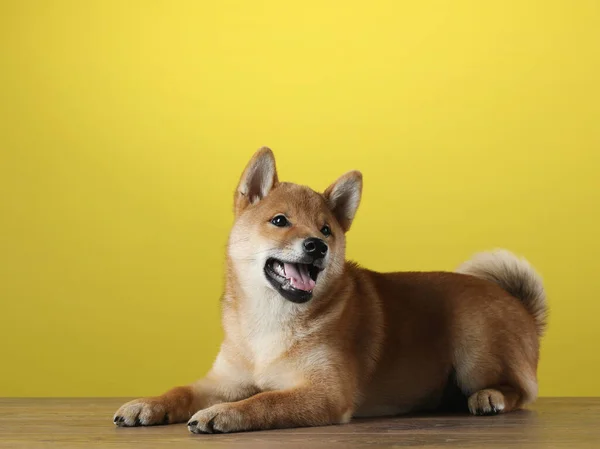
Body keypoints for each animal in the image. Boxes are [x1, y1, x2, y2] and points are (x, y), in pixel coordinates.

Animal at [113, 149, 548, 432]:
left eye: (325, 229)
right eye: (280, 220)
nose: (317, 246)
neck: (269, 321)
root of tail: (519, 305)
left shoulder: (324, 391)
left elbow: (265, 400)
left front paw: (224, 413)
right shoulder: (223, 381)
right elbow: (180, 390)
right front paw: (147, 405)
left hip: (475, 347)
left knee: (518, 390)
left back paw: (489, 397)